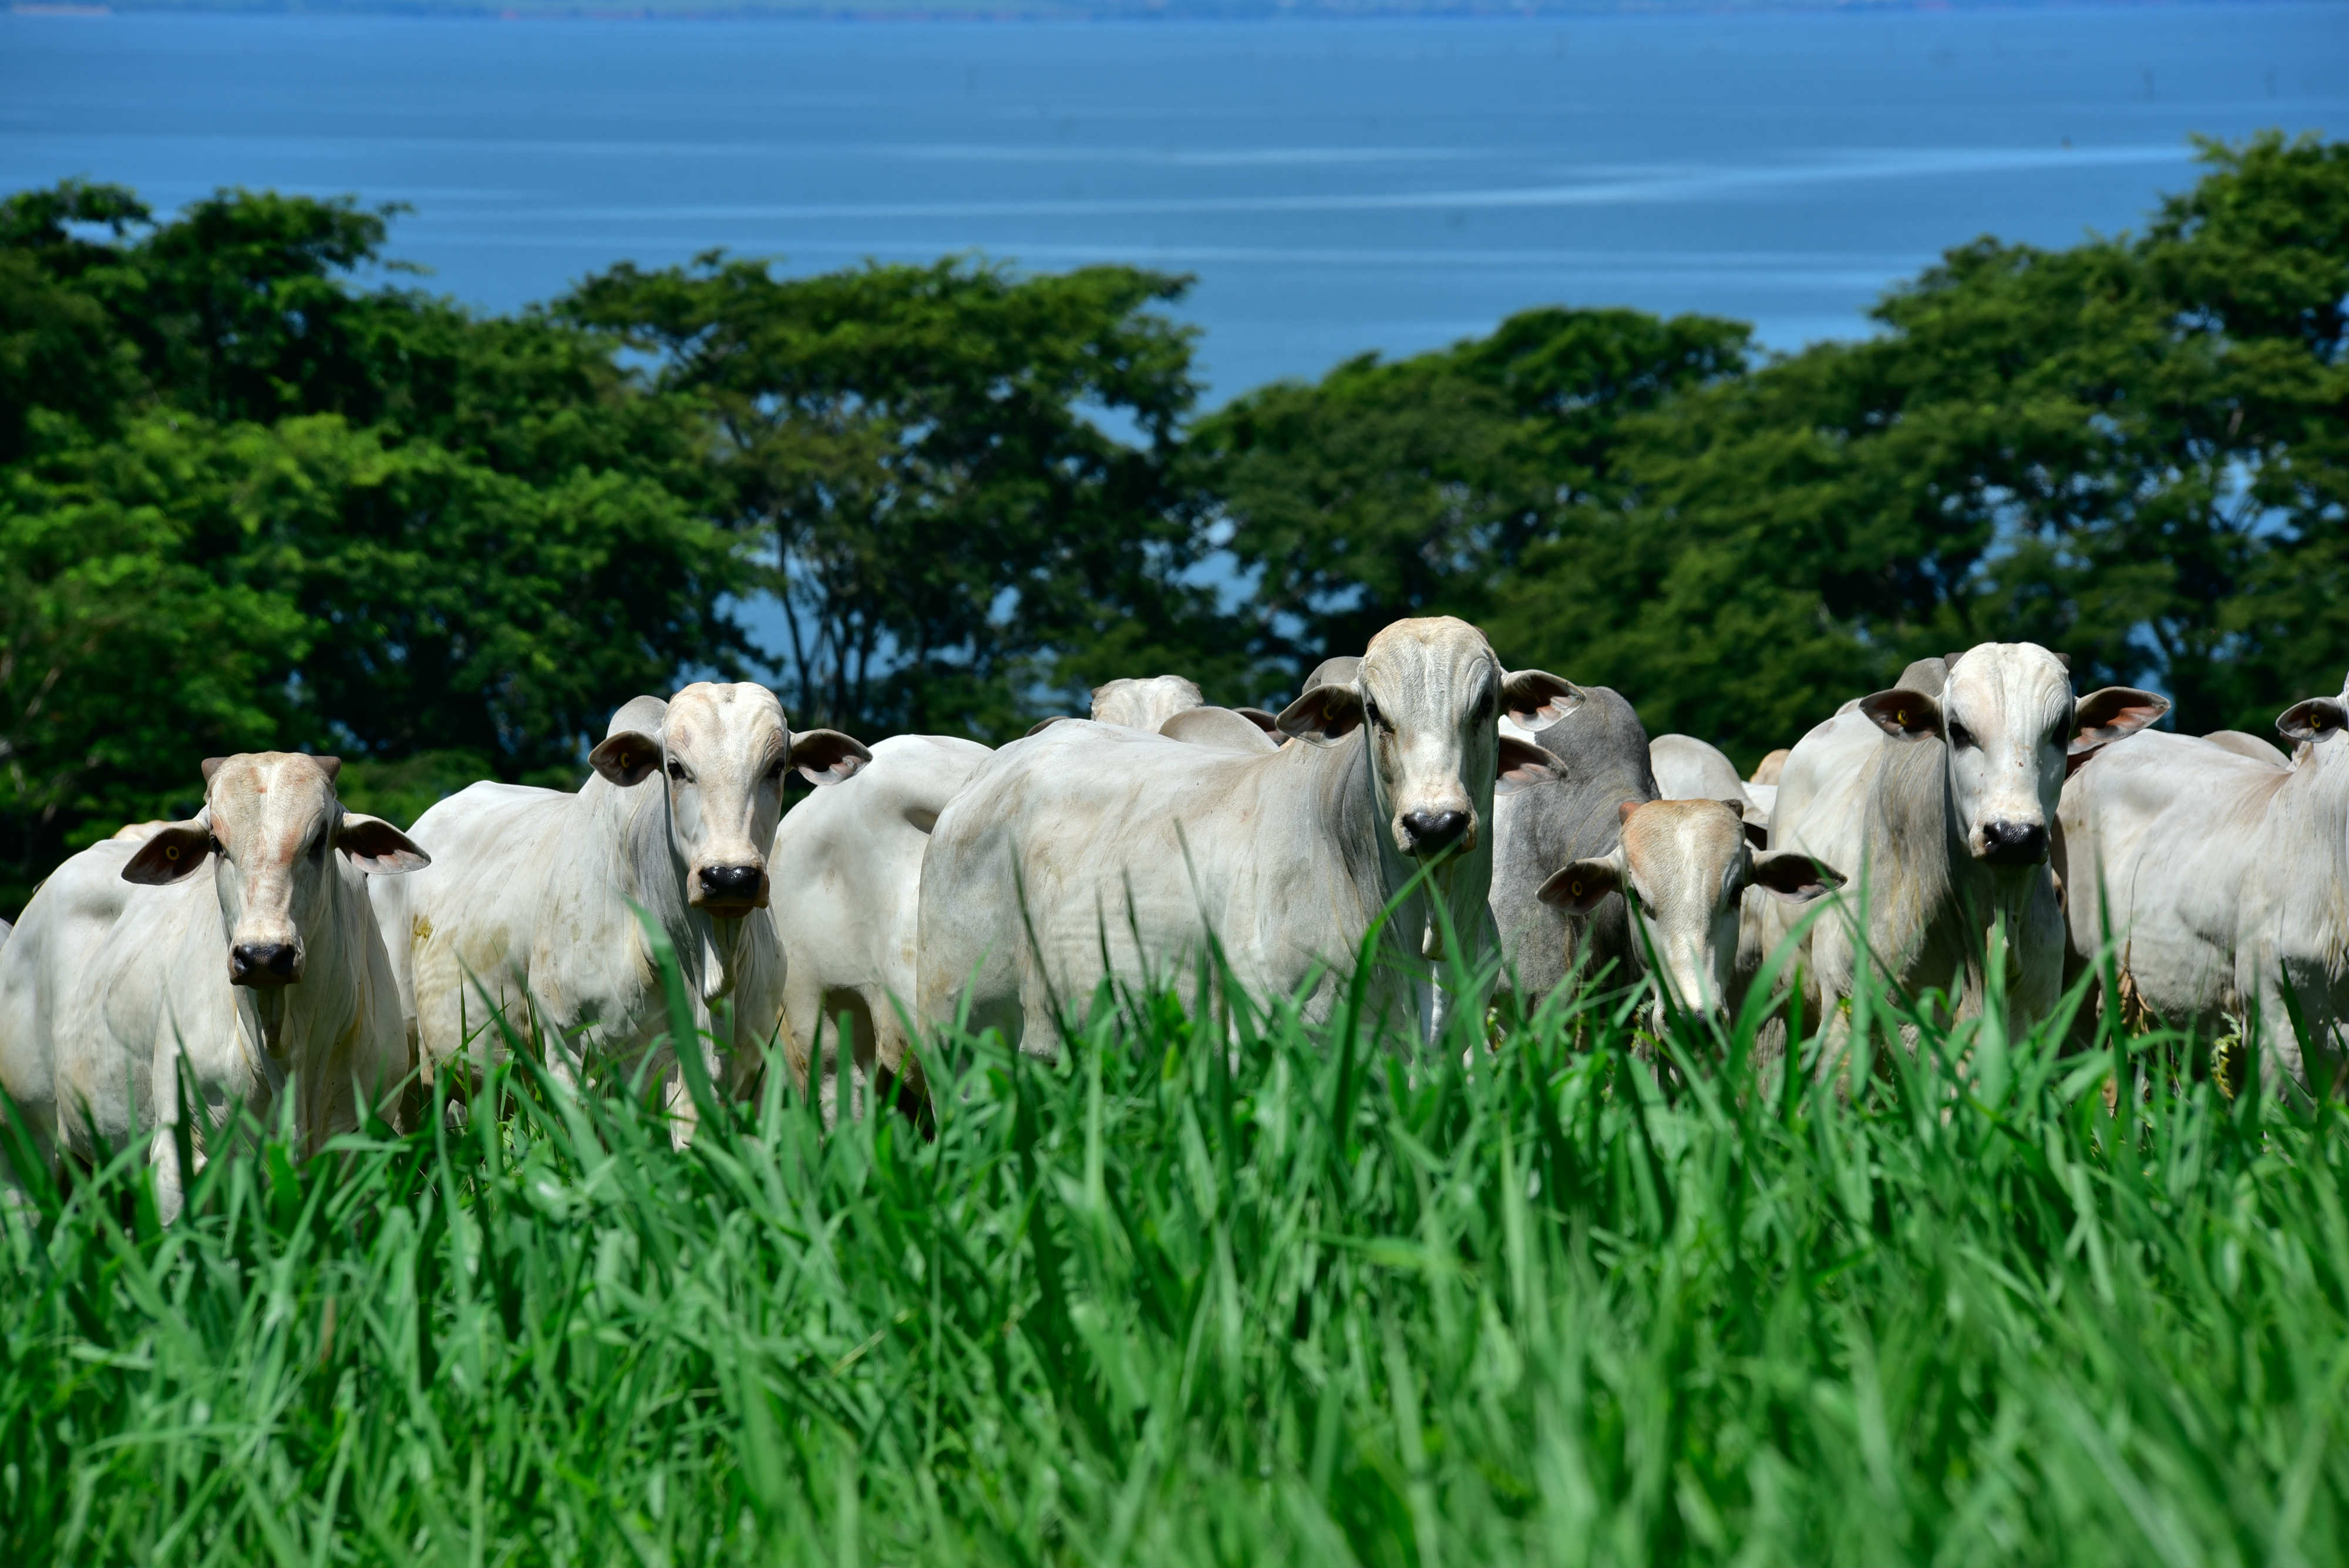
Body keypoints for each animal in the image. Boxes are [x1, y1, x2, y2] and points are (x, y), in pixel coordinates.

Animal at [0, 751, 428, 1220]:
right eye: (216, 844)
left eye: (318, 840)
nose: (262, 956)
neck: (283, 1048)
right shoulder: (179, 1153)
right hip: (23, 1147)